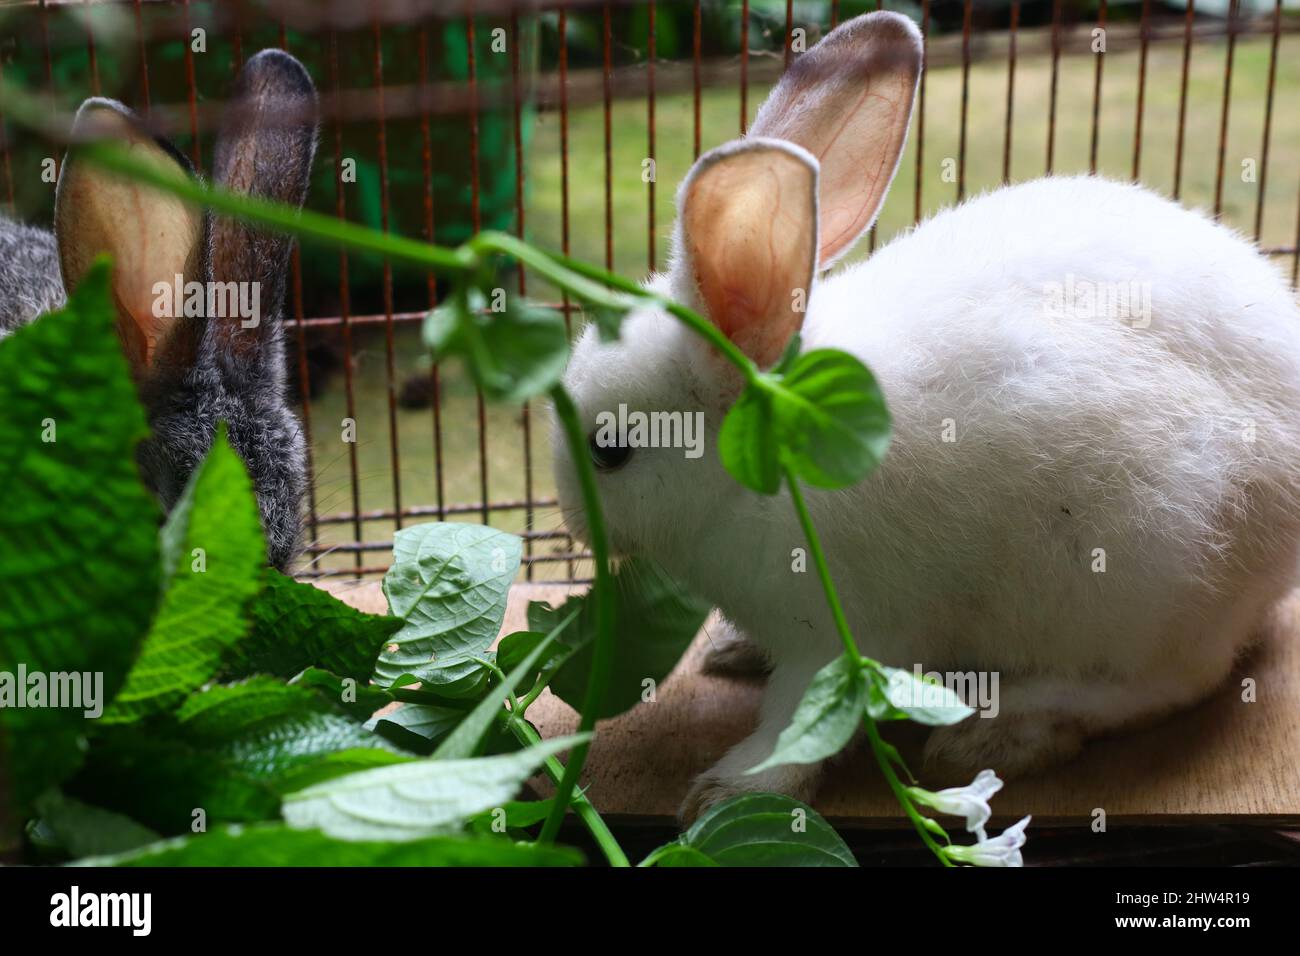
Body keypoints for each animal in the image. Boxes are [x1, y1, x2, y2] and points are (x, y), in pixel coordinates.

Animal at [552, 11, 1300, 823]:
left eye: (610, 449)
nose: (569, 520)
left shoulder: (840, 636)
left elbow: (797, 722)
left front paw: (729, 791)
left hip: (1147, 565)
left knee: (1168, 682)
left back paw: (1002, 732)